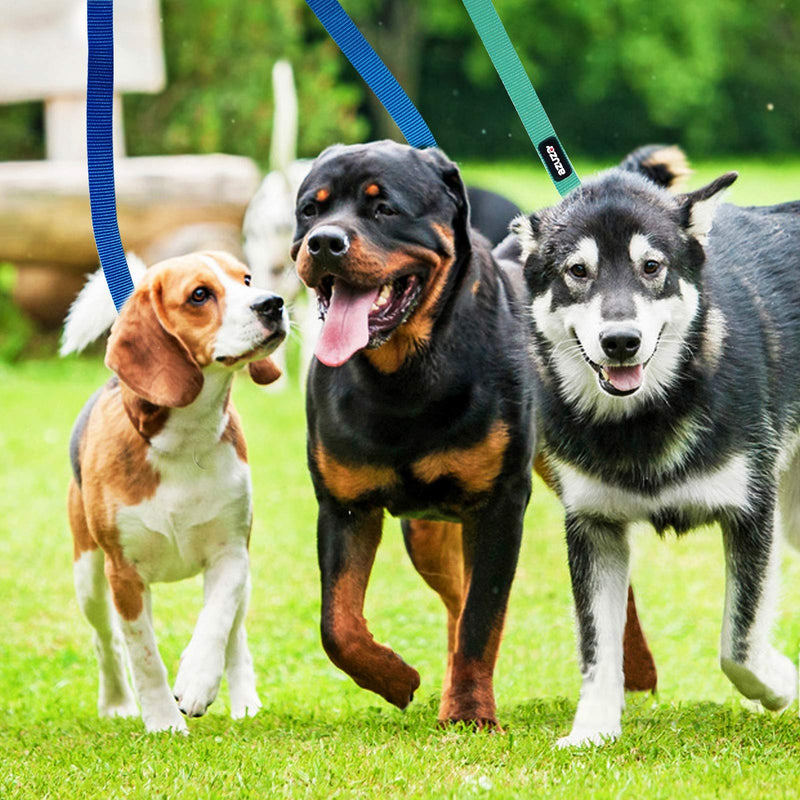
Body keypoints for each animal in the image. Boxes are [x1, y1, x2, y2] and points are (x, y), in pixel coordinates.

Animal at [512, 161, 800, 744]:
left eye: (651, 266)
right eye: (577, 271)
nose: (621, 341)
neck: (643, 419)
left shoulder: (751, 513)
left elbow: (739, 645)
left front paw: (780, 682)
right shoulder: (592, 526)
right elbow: (597, 646)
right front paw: (593, 728)